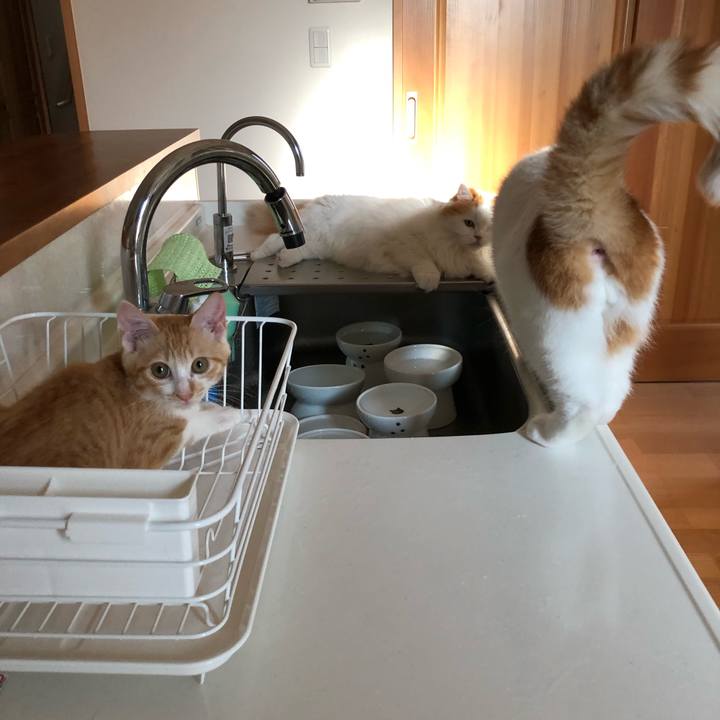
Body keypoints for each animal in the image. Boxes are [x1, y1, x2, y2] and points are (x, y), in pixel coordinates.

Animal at [0, 293, 245, 468]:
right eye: (160, 370)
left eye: (199, 365)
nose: (184, 395)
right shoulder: (149, 449)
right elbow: (191, 425)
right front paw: (226, 414)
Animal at [248, 185, 493, 291]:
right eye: (469, 223)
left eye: (489, 227)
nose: (478, 237)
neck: (455, 247)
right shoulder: (406, 246)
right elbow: (425, 263)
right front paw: (429, 282)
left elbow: (482, 267)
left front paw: (489, 276)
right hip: (308, 232)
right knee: (273, 238)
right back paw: (255, 255)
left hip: (315, 246)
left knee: (291, 250)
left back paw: (281, 259)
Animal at [492, 40, 720, 447]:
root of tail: (601, 201)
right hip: (625, 330)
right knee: (614, 392)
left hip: (554, 332)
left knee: (582, 401)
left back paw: (547, 431)